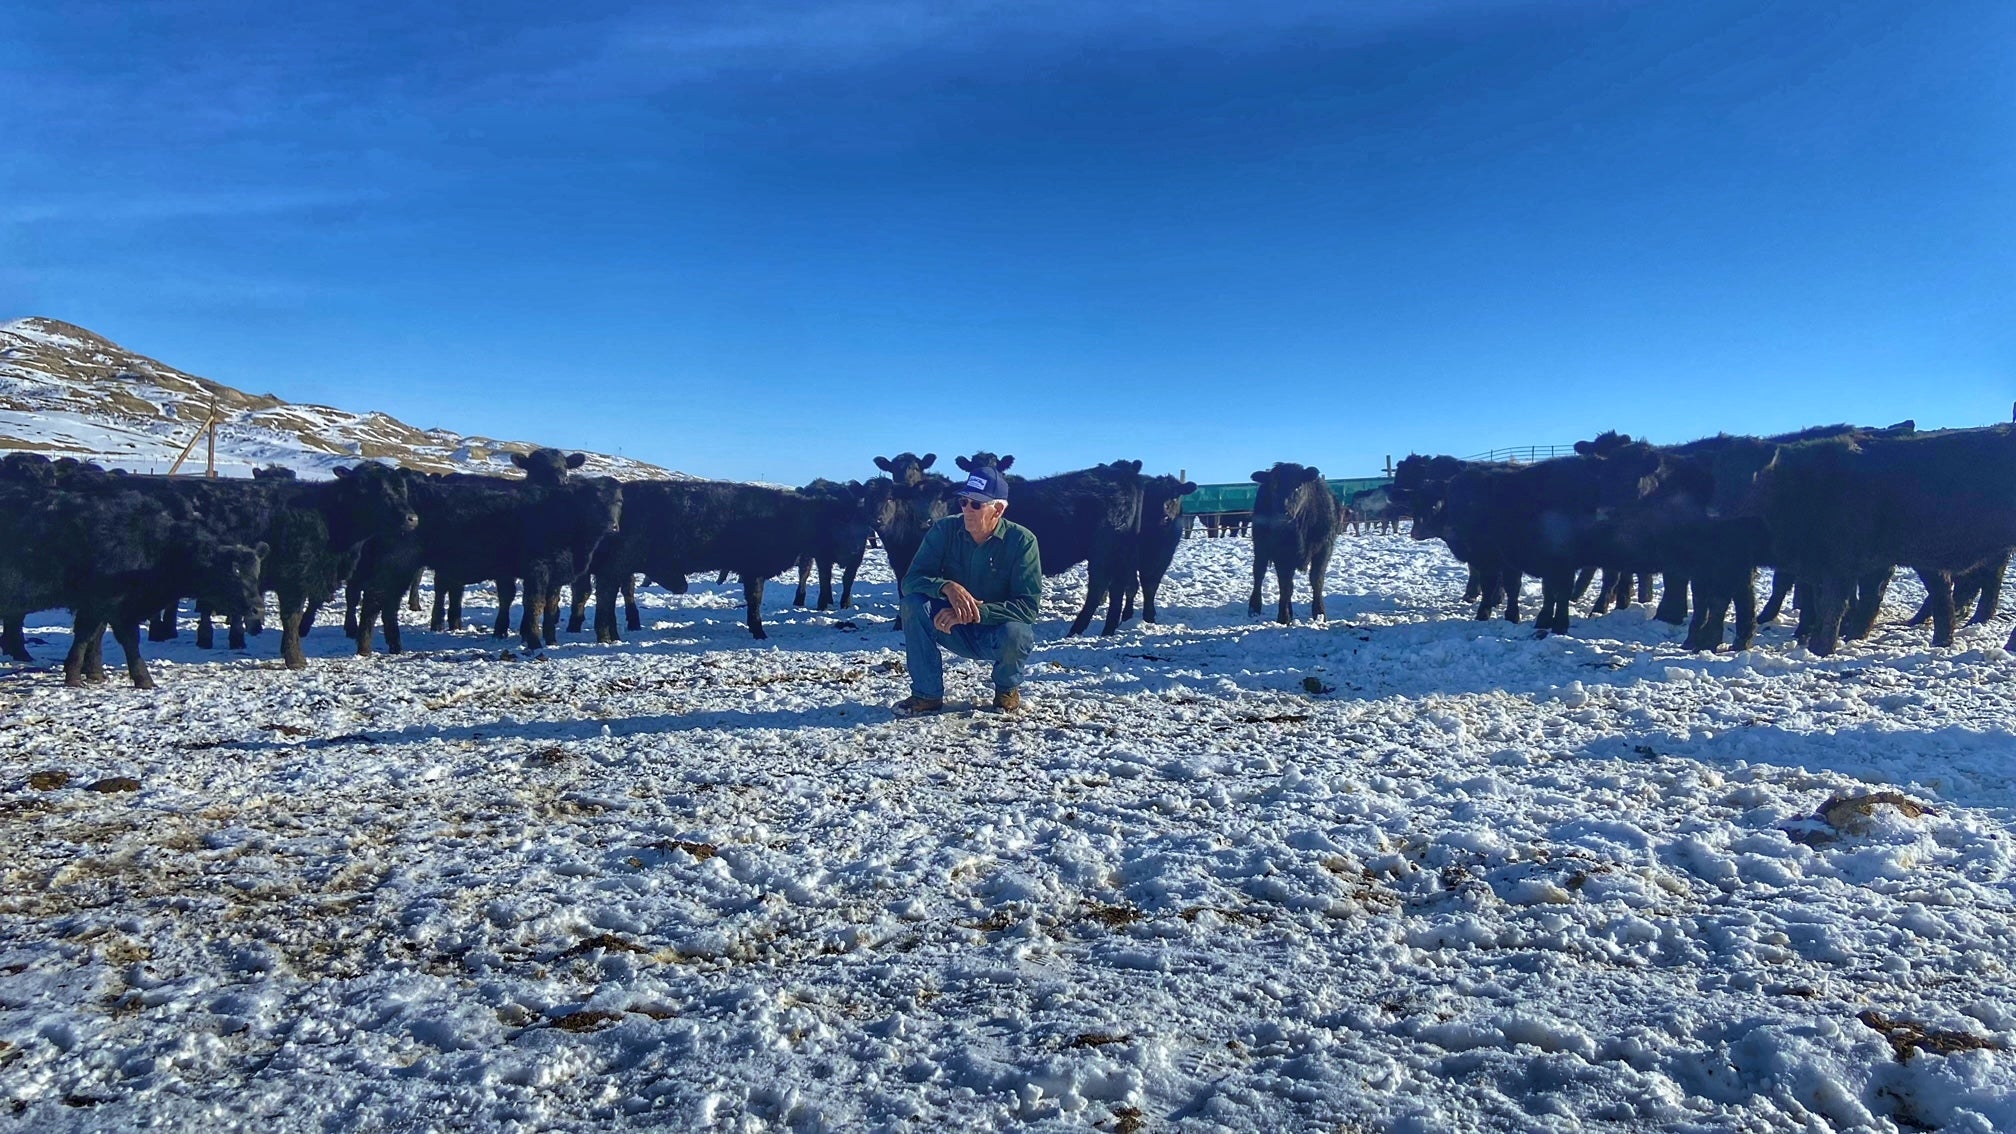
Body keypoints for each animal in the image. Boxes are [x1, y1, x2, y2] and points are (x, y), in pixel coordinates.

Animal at [951, 451, 1145, 637]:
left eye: (996, 467)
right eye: (972, 469)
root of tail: (1124, 474)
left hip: (1104, 548)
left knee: (1100, 585)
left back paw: (1078, 630)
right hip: (1120, 551)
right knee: (1118, 586)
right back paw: (1108, 628)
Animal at [1241, 460, 1338, 621]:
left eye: (1298, 486)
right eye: (1274, 486)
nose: (1283, 512)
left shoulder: (1324, 548)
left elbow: (1316, 579)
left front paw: (1319, 613)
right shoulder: (1281, 553)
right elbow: (1285, 585)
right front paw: (1283, 617)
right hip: (1260, 545)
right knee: (1259, 573)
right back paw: (1254, 608)